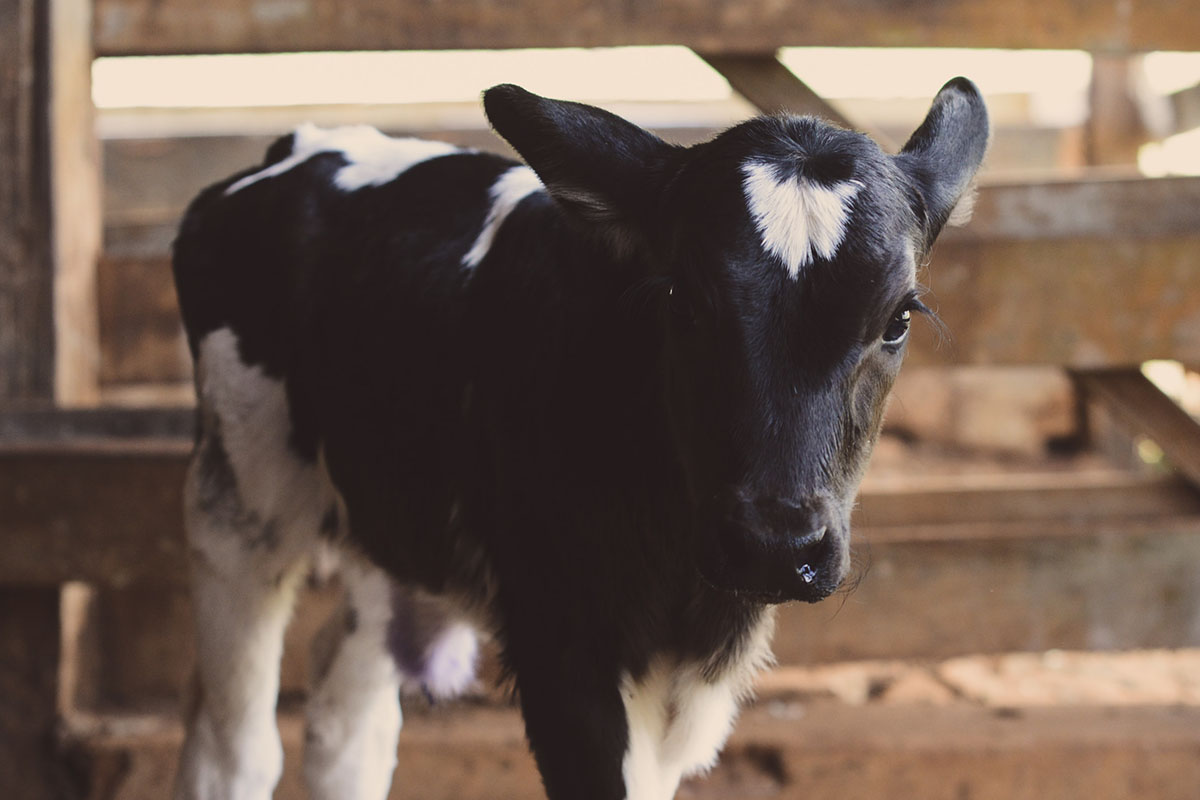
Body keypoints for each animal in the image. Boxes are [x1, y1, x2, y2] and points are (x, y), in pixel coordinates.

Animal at [171, 78, 988, 800]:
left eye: (898, 318)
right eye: (682, 302)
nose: (774, 544)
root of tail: (306, 142)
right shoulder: (562, 645)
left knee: (349, 721)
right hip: (238, 501)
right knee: (233, 749)